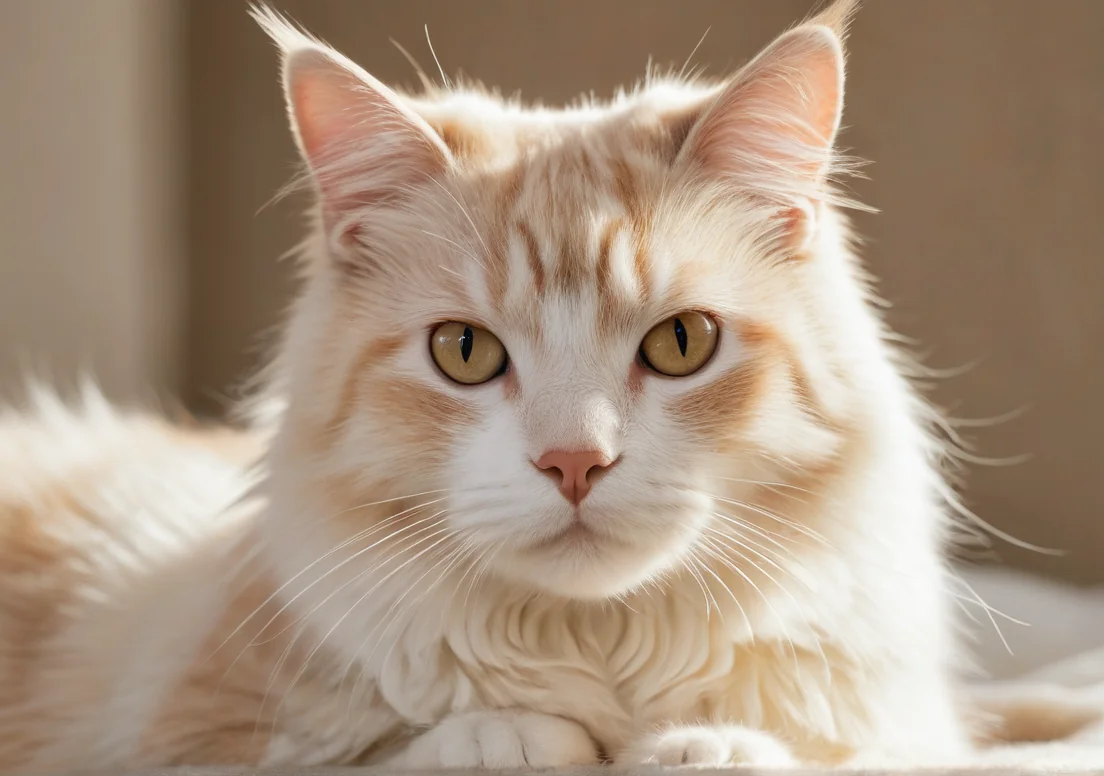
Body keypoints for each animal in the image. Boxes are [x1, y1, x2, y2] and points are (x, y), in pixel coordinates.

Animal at [0, 0, 975, 772]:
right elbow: (387, 755)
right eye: (464, 351)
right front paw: (509, 736)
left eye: (682, 343)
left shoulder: (911, 731)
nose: (574, 463)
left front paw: (705, 748)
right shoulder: (190, 735)